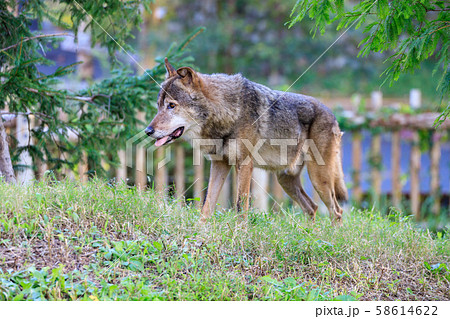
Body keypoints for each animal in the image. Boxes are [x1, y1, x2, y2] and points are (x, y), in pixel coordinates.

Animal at [147, 59, 348, 225]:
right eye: (158, 106)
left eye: (171, 105)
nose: (148, 131)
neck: (228, 113)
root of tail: (333, 115)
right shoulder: (219, 164)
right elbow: (207, 205)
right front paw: (200, 231)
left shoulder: (244, 164)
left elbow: (240, 206)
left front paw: (239, 233)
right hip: (286, 180)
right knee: (312, 208)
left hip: (318, 178)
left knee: (337, 211)